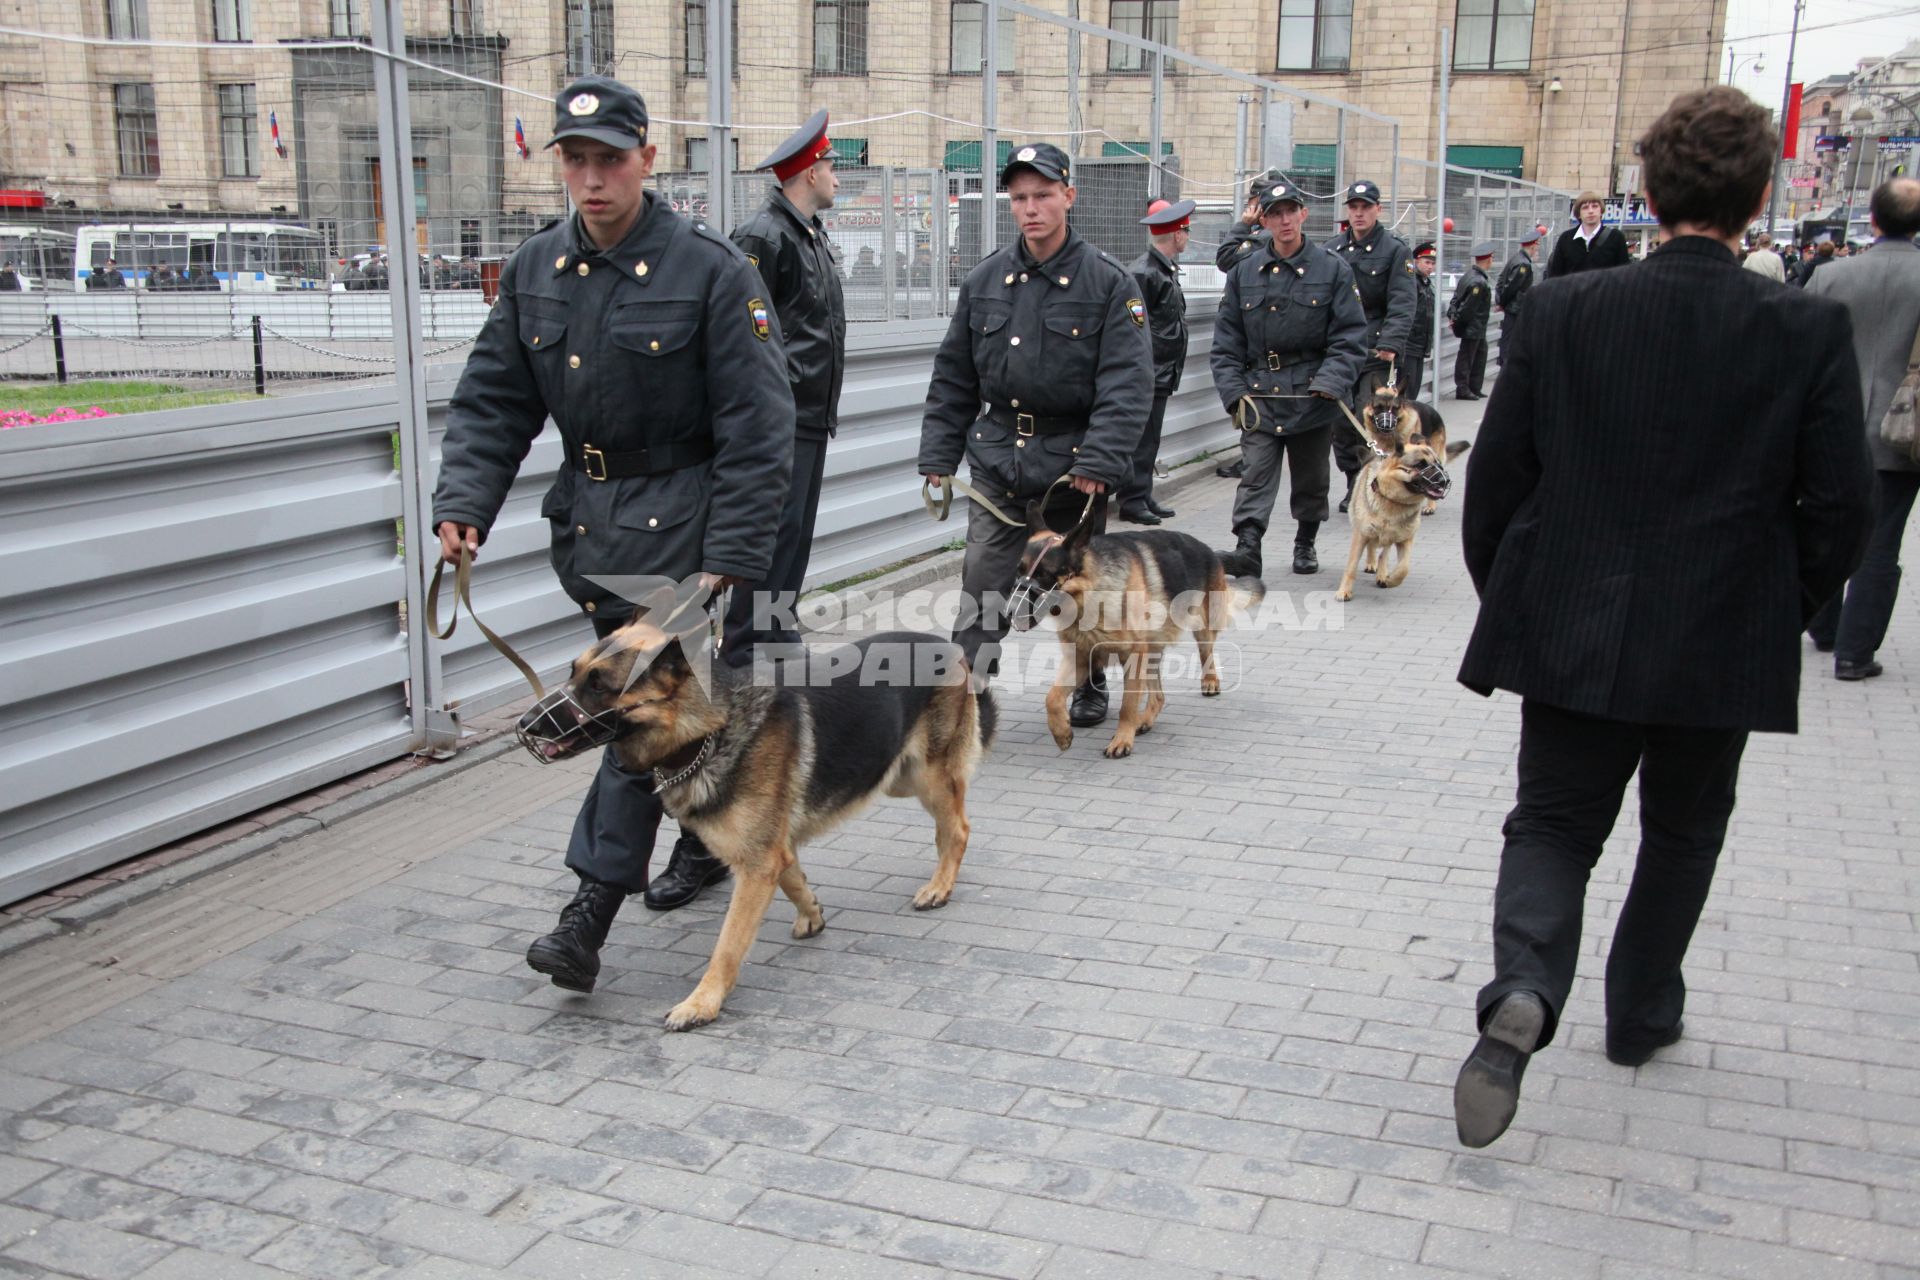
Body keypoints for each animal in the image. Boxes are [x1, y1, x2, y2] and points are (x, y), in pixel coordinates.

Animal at [522, 621, 990, 1028]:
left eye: (598, 685)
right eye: (572, 674)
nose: (525, 725)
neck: (709, 731)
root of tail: (949, 647)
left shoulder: (756, 863)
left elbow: (728, 944)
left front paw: (702, 1003)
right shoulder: (771, 851)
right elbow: (793, 878)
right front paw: (812, 914)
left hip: (926, 775)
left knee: (960, 828)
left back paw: (940, 885)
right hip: (897, 776)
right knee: (950, 823)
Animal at [1013, 514, 1267, 759]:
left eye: (1044, 574)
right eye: (1020, 571)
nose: (1010, 612)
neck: (1089, 597)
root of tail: (1207, 549)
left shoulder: (1133, 658)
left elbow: (1127, 706)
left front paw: (1122, 741)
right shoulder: (1081, 660)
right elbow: (1052, 697)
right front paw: (1061, 732)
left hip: (1201, 625)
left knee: (1206, 653)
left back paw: (1209, 681)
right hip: (1152, 650)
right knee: (1159, 695)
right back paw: (1143, 720)